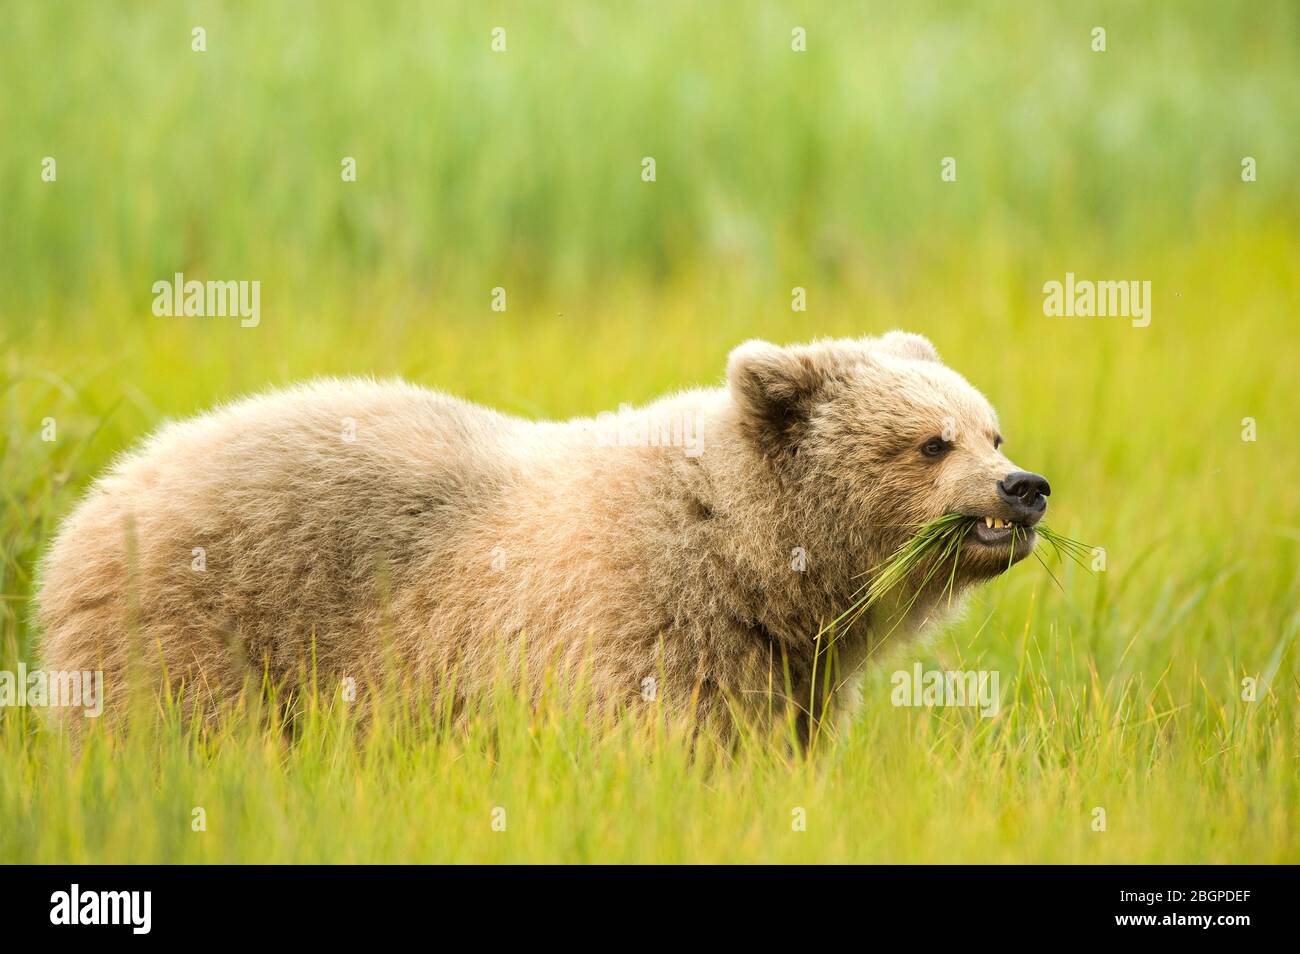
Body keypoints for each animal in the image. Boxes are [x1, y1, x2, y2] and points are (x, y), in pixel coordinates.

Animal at [35, 335, 1045, 738]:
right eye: (931, 442)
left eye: (991, 429)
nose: (1025, 489)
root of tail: (95, 499)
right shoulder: (639, 622)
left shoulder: (786, 668)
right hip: (200, 629)